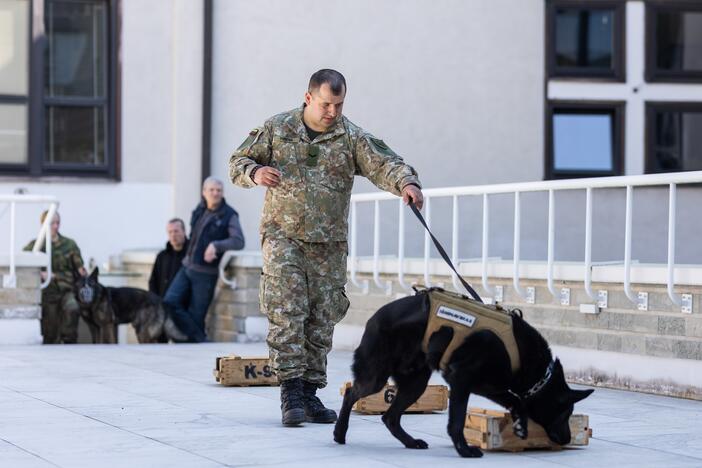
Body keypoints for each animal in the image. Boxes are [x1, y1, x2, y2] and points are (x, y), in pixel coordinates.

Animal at [336, 288, 592, 458]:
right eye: (565, 412)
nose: (568, 439)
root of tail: (372, 318)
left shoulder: (489, 385)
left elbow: (515, 400)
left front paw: (520, 424)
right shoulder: (461, 380)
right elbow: (457, 420)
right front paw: (464, 450)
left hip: (415, 384)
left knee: (390, 417)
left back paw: (411, 442)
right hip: (377, 378)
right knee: (351, 393)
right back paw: (339, 432)